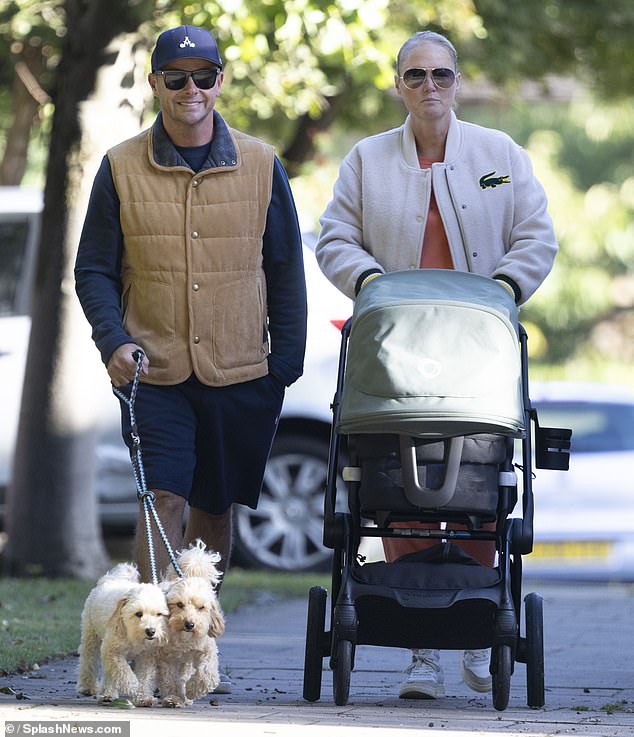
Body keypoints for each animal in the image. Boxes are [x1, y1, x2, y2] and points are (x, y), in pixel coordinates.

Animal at [77, 560, 168, 704]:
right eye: (138, 614)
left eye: (159, 614)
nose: (151, 631)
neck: (133, 635)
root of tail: (110, 578)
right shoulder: (113, 651)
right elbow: (124, 672)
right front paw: (134, 687)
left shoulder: (146, 656)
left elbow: (144, 677)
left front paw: (143, 696)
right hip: (91, 635)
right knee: (88, 660)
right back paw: (89, 687)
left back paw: (107, 693)